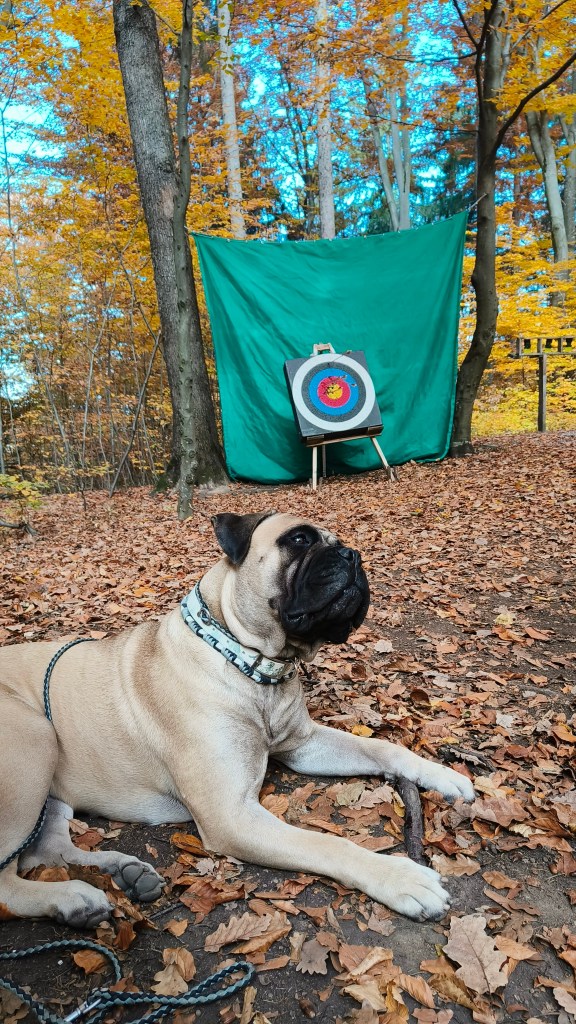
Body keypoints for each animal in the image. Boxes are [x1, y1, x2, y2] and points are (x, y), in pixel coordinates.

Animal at [0, 512, 474, 927]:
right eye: (298, 539)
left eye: (341, 543)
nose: (352, 556)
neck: (250, 662)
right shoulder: (232, 814)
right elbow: (324, 841)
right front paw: (401, 877)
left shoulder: (304, 745)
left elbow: (381, 746)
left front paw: (444, 775)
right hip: (34, 740)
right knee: (8, 882)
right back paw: (74, 898)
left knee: (47, 850)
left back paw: (122, 875)